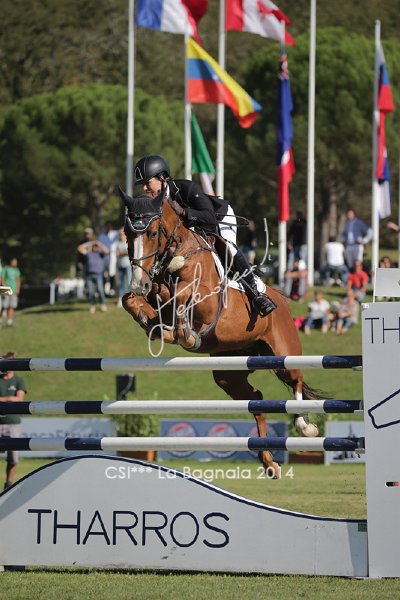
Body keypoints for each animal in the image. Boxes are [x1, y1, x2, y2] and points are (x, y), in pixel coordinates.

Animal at [119, 187, 323, 478]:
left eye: (153, 233)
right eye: (127, 233)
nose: (140, 282)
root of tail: (283, 301)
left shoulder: (206, 299)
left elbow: (181, 292)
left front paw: (183, 333)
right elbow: (133, 299)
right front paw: (152, 321)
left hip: (284, 352)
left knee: (295, 380)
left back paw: (305, 427)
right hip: (229, 372)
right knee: (256, 400)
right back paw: (269, 462)